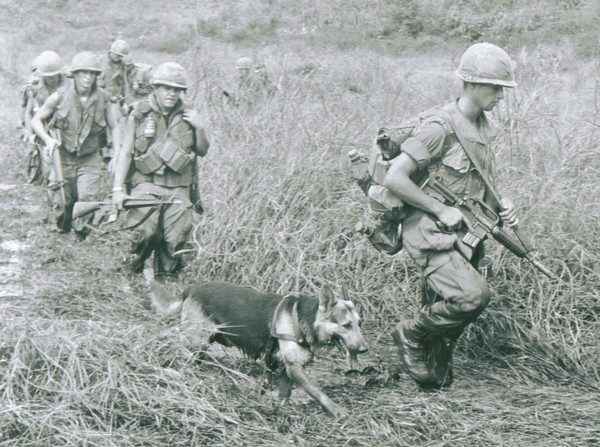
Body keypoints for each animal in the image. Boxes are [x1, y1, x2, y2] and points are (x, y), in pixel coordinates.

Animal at [151, 282, 366, 418]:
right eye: (346, 325)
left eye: (359, 323)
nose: (365, 349)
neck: (305, 319)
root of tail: (191, 288)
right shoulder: (295, 369)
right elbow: (318, 391)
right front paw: (336, 410)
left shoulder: (288, 369)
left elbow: (284, 396)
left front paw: (280, 411)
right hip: (196, 340)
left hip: (202, 344)